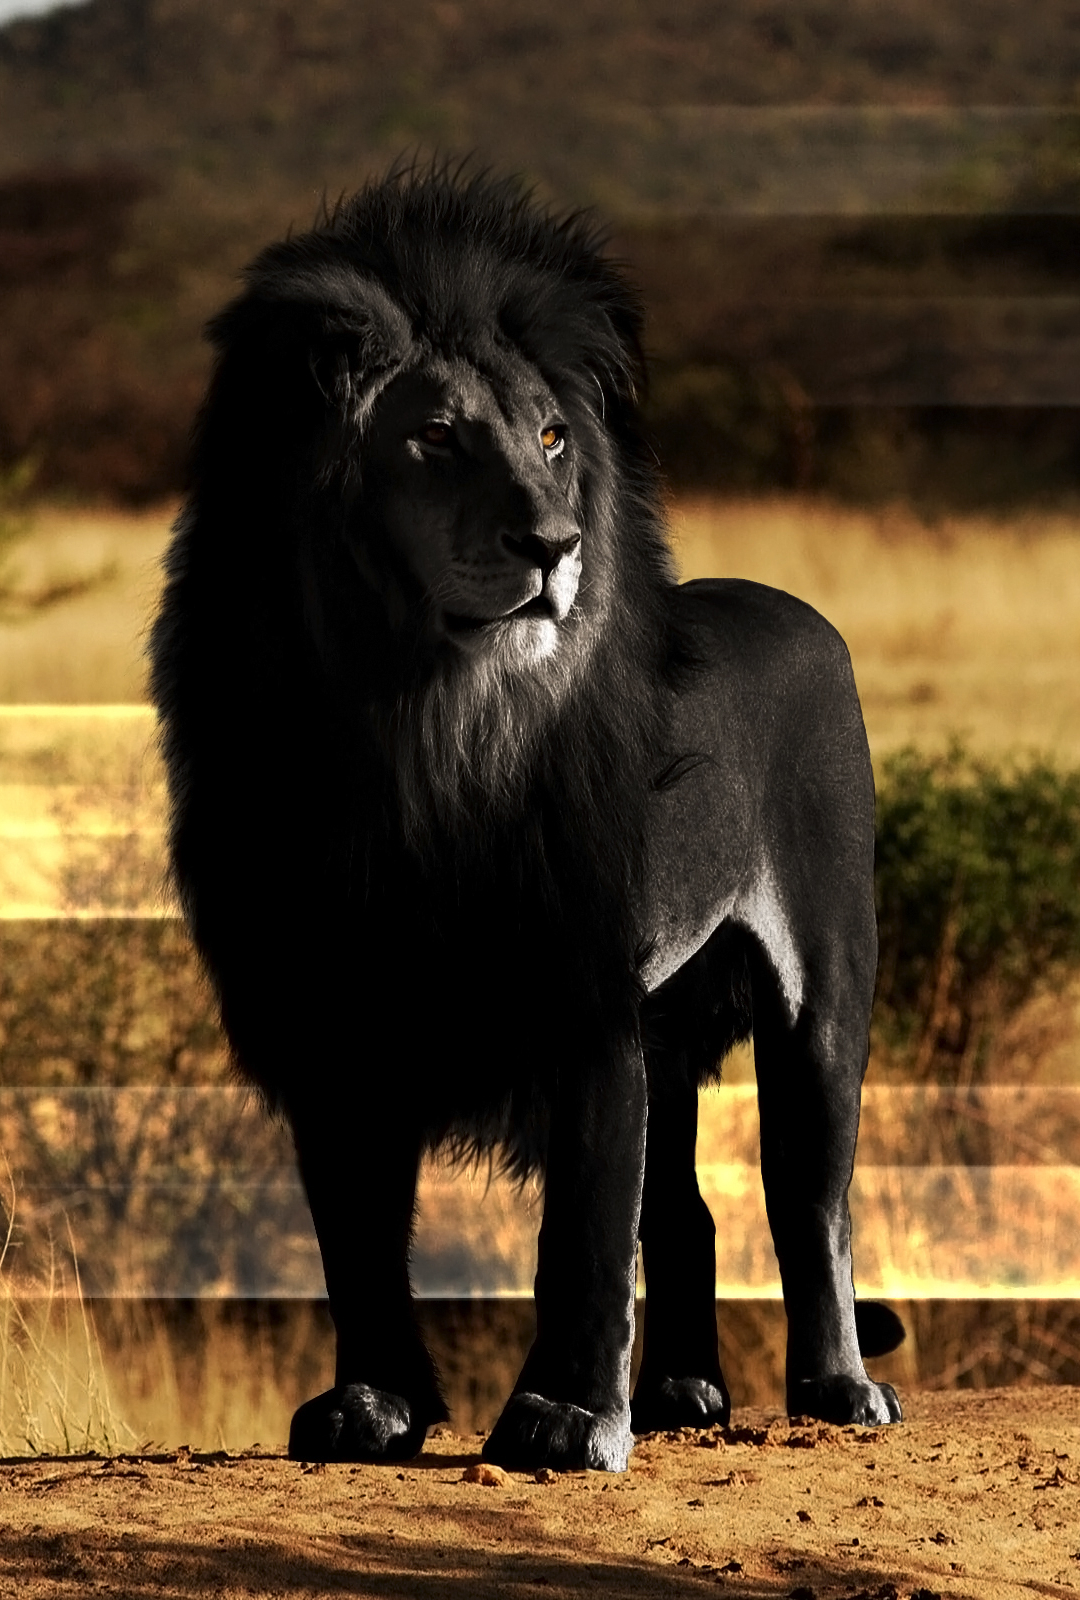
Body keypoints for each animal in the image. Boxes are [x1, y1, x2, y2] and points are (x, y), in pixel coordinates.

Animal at [150, 165, 902, 1474]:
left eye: (553, 437)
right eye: (436, 435)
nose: (554, 543)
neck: (415, 725)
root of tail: (800, 609)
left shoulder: (583, 990)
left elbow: (583, 1234)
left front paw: (562, 1419)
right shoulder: (327, 1006)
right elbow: (356, 1234)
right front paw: (373, 1408)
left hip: (822, 983)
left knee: (811, 1197)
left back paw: (835, 1389)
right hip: (671, 1021)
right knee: (688, 1211)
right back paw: (683, 1394)